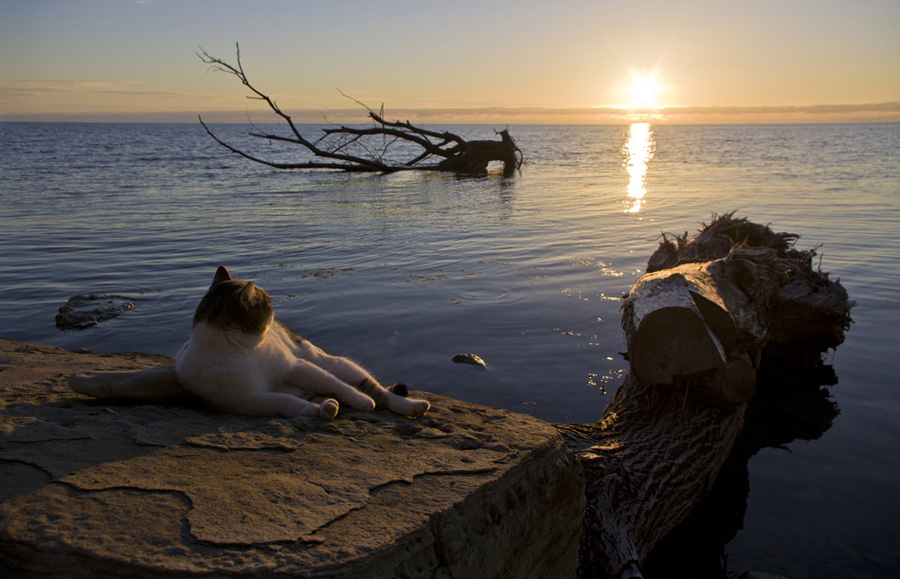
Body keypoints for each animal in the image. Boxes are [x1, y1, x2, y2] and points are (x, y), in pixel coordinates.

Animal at [176, 268, 432, 422]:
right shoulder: (245, 400)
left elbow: (340, 385)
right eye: (267, 305)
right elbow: (285, 402)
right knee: (321, 398)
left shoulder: (296, 367)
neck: (245, 350)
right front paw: (309, 410)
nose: (275, 312)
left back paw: (410, 406)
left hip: (332, 361)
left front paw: (362, 401)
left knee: (377, 390)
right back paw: (325, 407)